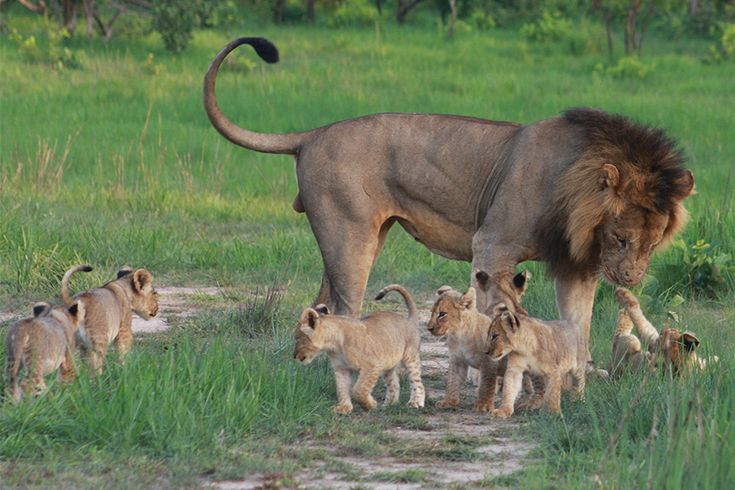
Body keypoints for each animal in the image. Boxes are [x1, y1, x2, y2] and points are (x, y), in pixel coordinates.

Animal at [204, 38, 694, 371]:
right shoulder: (492, 244)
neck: (574, 185)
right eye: (622, 237)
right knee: (343, 306)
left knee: (319, 306)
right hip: (350, 237)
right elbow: (501, 309)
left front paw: (581, 373)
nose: (631, 277)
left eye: (654, 243)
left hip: (360, 235)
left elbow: (578, 322)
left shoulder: (578, 265)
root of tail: (313, 133)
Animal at [294, 285, 424, 414]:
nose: (294, 356)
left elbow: (359, 390)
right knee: (394, 384)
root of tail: (409, 319)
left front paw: (370, 404)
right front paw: (344, 407)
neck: (333, 345)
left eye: (297, 338)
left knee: (417, 382)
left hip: (410, 357)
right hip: (388, 364)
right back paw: (389, 405)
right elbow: (342, 388)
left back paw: (415, 402)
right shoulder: (342, 368)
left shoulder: (372, 366)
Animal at [427, 270, 534, 411]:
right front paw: (449, 401)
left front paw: (483, 405)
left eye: (442, 314)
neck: (459, 336)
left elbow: (486, 384)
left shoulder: (489, 362)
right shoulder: (457, 360)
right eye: (432, 312)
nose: (429, 328)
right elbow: (452, 381)